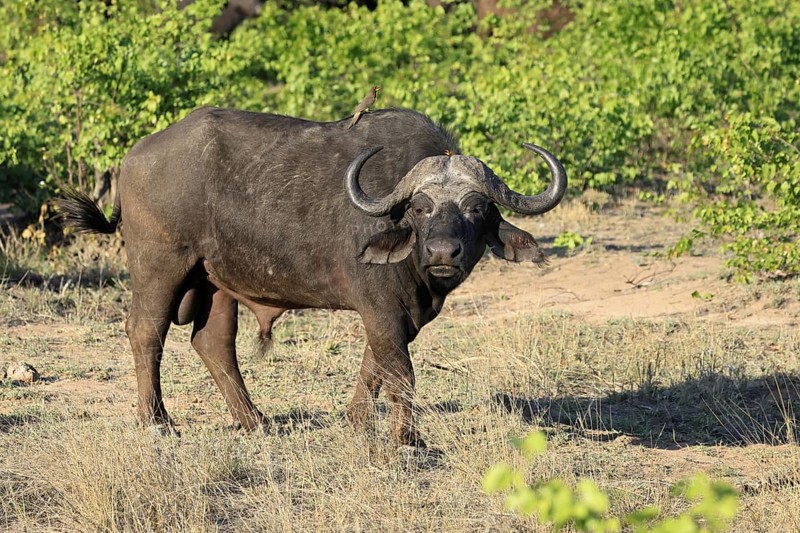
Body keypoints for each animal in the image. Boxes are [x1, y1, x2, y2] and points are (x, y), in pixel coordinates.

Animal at [60, 107, 566, 447]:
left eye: (476, 208)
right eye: (421, 208)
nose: (444, 252)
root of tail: (135, 157)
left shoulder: (397, 313)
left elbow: (374, 365)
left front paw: (356, 422)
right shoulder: (381, 306)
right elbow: (400, 372)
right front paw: (408, 439)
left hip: (217, 280)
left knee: (213, 342)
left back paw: (255, 420)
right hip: (160, 268)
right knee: (146, 331)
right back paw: (157, 421)